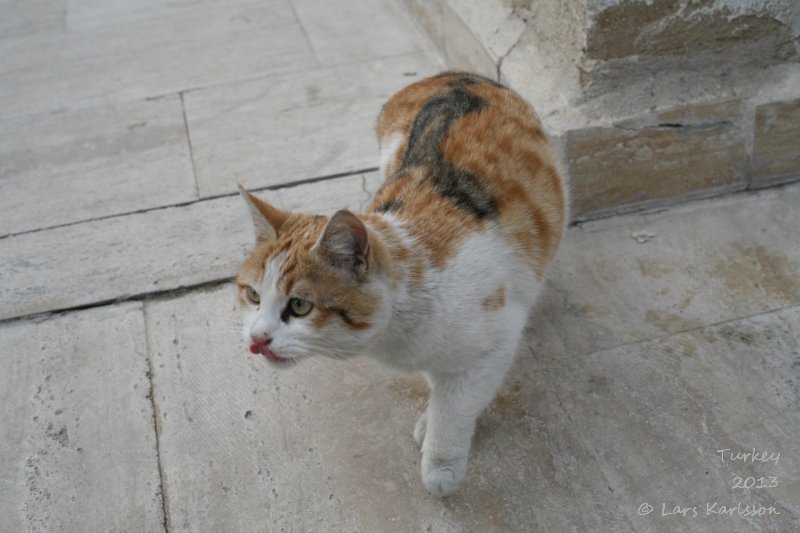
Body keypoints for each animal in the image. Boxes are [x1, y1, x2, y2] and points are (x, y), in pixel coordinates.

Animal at [238, 69, 568, 494]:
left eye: (300, 305)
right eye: (252, 295)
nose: (257, 338)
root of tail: (452, 75)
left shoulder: (495, 337)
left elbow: (459, 403)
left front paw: (441, 462)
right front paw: (432, 414)